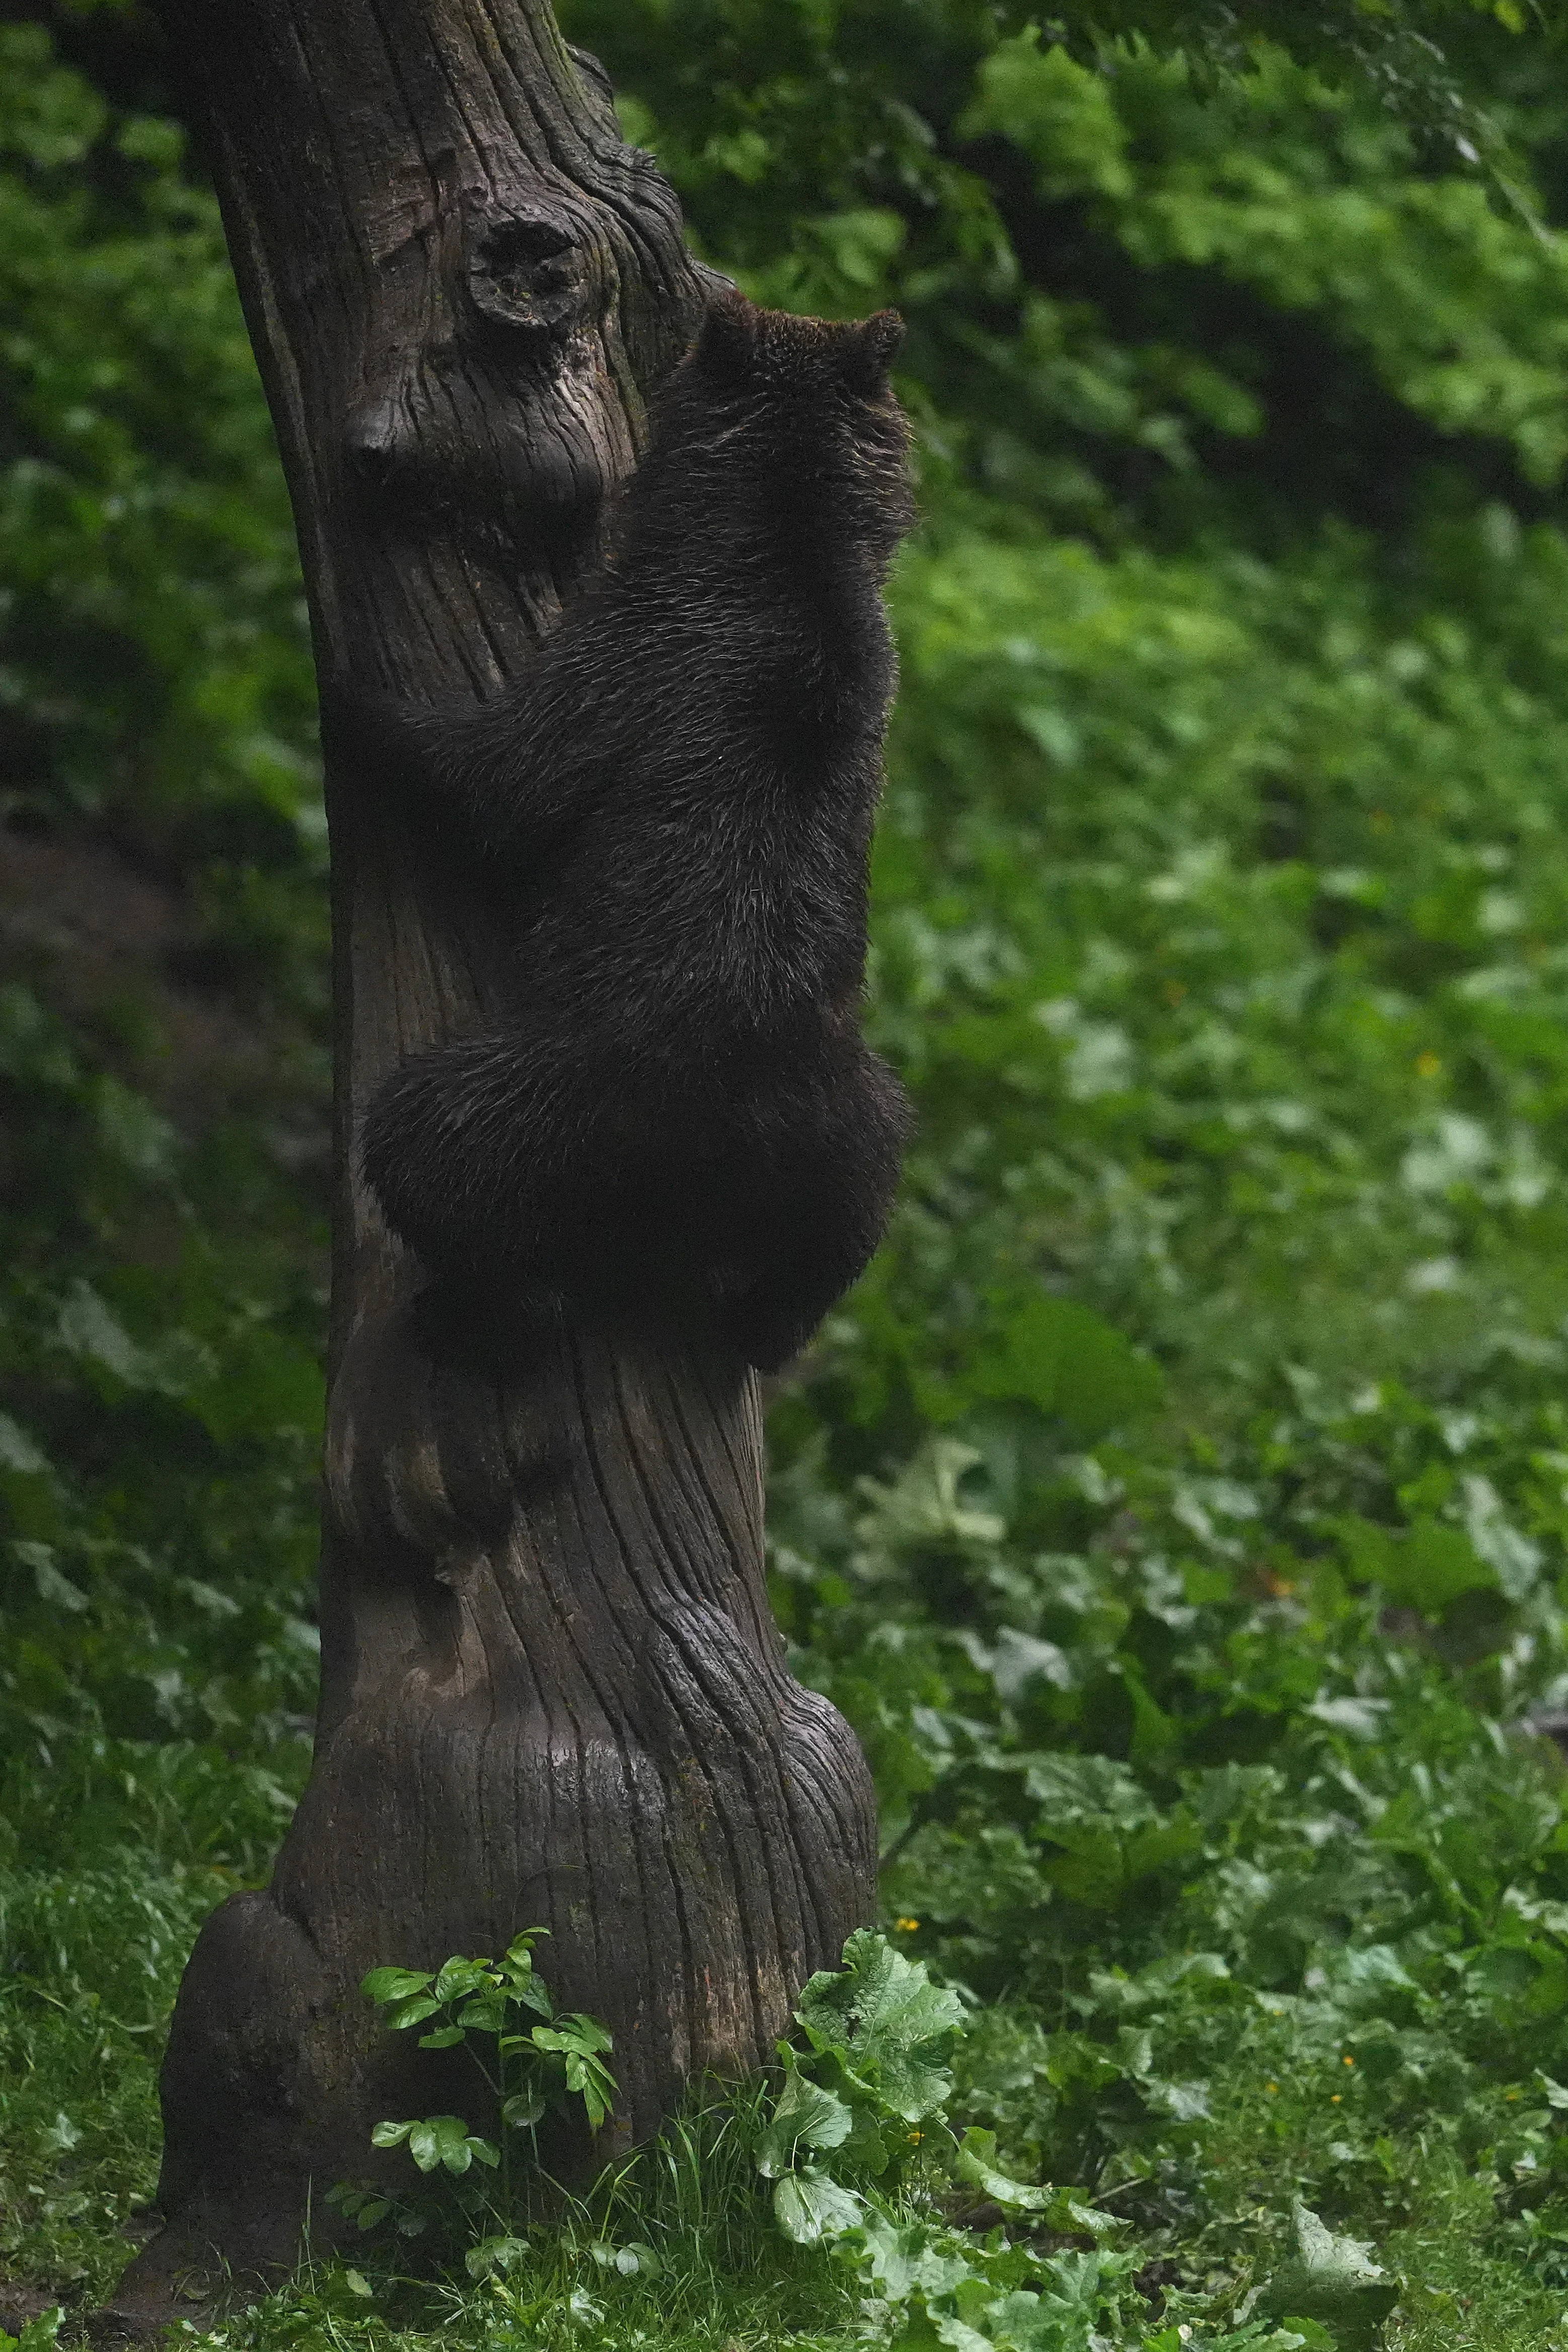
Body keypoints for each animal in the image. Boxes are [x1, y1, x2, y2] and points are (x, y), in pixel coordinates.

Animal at [328, 290, 916, 1373]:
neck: (788, 535)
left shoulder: (631, 660)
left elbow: (500, 783)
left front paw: (353, 701)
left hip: (569, 1100)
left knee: (424, 1136)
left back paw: (477, 1307)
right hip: (843, 1116)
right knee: (858, 1199)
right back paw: (769, 1321)